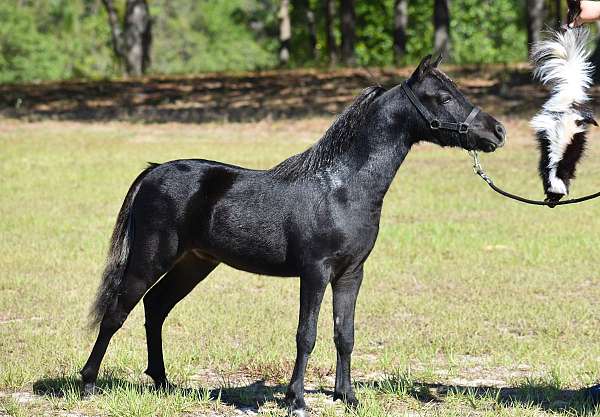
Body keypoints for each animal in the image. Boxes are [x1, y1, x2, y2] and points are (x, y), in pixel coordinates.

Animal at [79, 56, 506, 416]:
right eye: (443, 97)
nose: (497, 131)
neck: (342, 188)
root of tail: (154, 171)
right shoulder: (315, 273)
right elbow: (307, 334)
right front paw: (296, 400)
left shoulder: (351, 274)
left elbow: (344, 334)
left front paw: (347, 397)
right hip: (151, 258)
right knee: (118, 311)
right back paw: (88, 384)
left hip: (194, 264)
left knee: (156, 307)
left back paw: (163, 382)